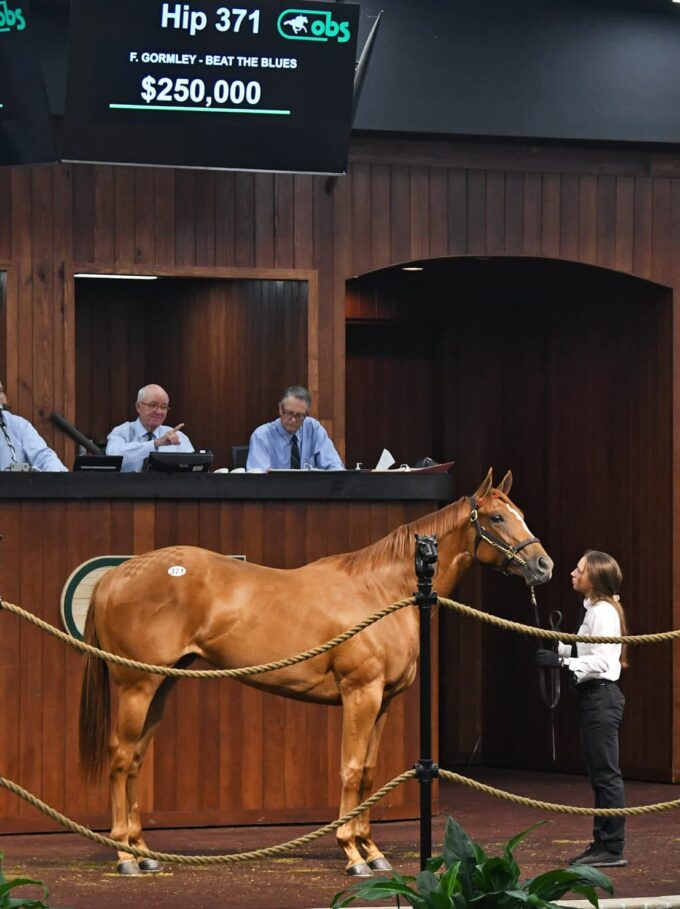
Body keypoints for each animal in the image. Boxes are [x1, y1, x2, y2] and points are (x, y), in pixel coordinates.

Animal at [78, 468, 552, 872]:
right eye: (496, 517)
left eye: (522, 515)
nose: (543, 565)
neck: (382, 593)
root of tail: (114, 576)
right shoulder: (360, 694)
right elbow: (349, 768)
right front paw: (352, 853)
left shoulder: (383, 701)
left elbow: (367, 772)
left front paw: (372, 850)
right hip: (137, 686)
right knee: (121, 756)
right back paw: (124, 856)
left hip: (163, 685)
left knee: (136, 759)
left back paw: (143, 853)